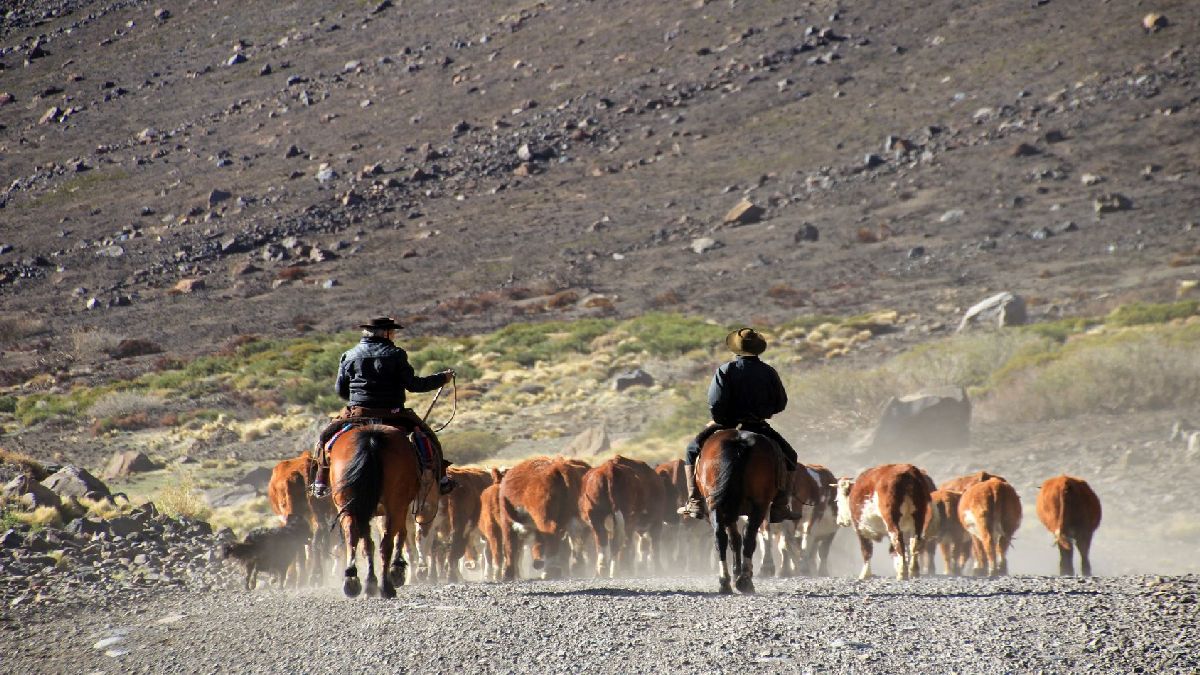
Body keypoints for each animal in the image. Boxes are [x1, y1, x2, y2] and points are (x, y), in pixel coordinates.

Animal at [326, 422, 424, 595]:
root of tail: (371, 439)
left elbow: (367, 544)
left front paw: (370, 581)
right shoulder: (400, 507)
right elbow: (400, 534)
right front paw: (396, 569)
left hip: (347, 504)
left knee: (352, 533)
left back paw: (351, 579)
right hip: (394, 504)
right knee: (387, 542)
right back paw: (386, 585)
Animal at [696, 427, 777, 590]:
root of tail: (739, 441)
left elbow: (734, 540)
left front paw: (736, 573)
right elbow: (738, 539)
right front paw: (739, 573)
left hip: (717, 506)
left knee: (722, 537)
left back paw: (726, 581)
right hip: (757, 506)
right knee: (747, 536)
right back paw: (744, 579)